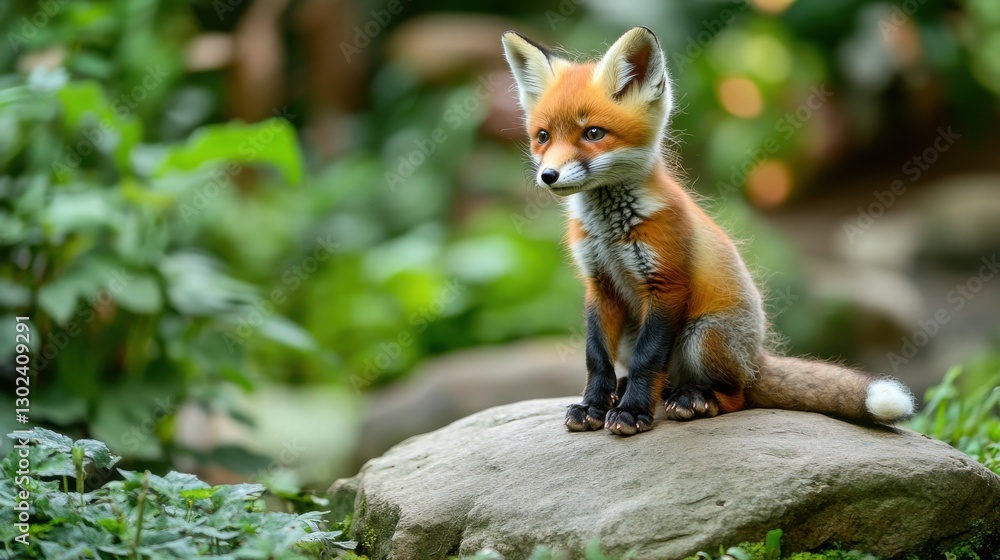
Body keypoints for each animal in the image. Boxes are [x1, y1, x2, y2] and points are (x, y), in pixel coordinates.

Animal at [500, 26, 916, 436]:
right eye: (543, 136)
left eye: (593, 133)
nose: (548, 175)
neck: (611, 232)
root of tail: (756, 359)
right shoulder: (598, 285)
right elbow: (596, 358)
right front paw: (593, 406)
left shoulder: (666, 282)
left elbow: (648, 359)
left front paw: (633, 412)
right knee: (664, 378)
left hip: (701, 334)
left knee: (736, 395)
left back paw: (697, 399)